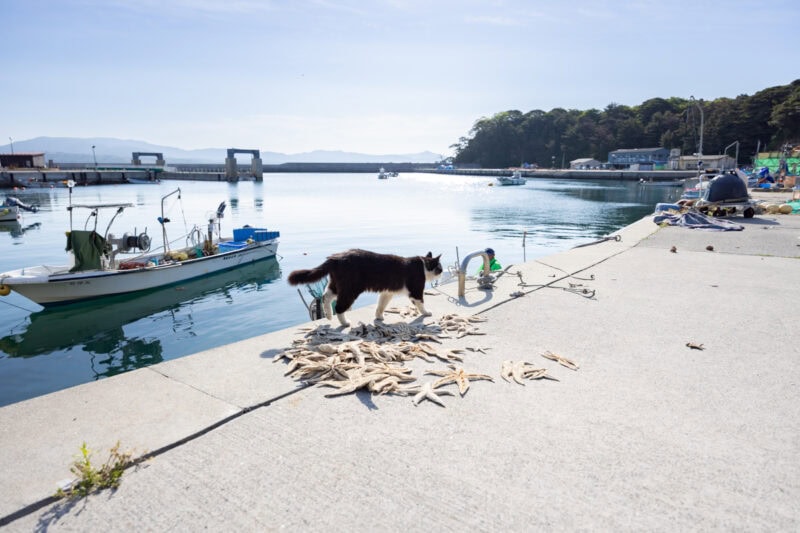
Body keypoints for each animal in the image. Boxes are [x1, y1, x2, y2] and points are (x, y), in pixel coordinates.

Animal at [290, 248, 444, 326]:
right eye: (440, 268)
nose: (442, 272)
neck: (423, 266)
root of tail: (336, 258)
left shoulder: (387, 292)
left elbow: (381, 304)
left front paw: (379, 317)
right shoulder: (416, 290)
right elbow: (421, 303)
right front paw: (426, 313)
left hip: (337, 284)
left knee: (325, 296)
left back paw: (328, 315)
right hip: (350, 289)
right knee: (339, 307)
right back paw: (345, 322)